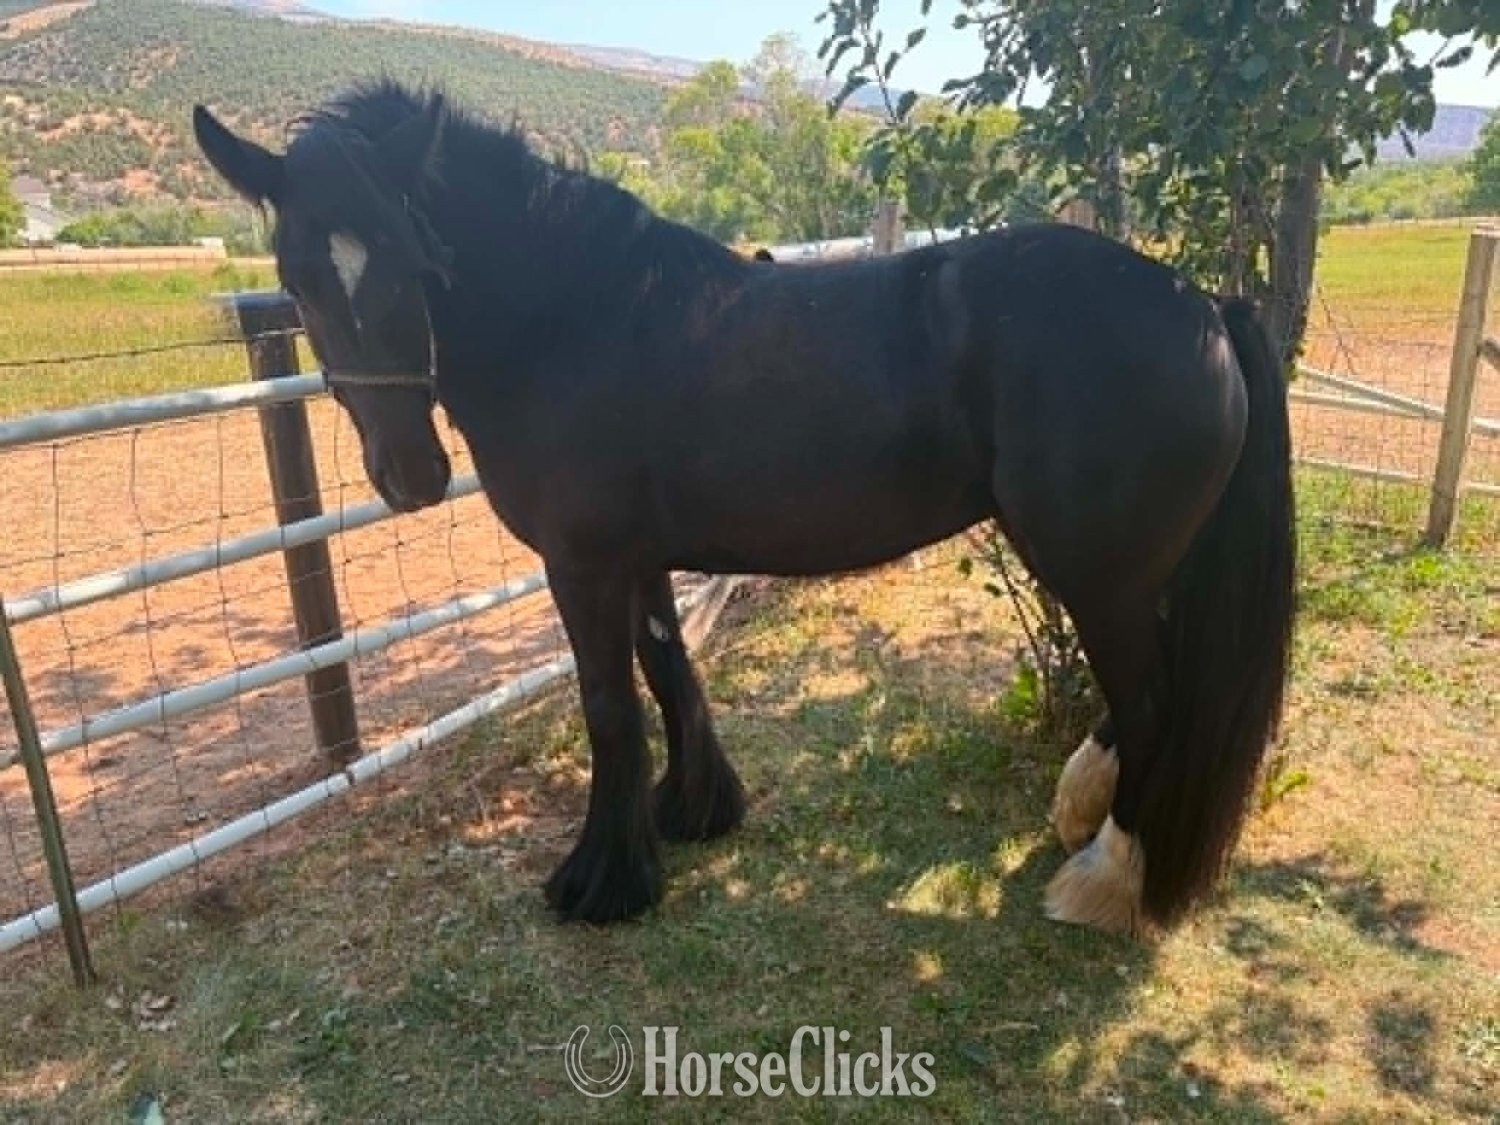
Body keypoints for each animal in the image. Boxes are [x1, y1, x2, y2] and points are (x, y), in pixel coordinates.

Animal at [191, 80, 1296, 937]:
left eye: (414, 259)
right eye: (297, 276)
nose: (410, 474)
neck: (580, 318)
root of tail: (1202, 306)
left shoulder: (581, 562)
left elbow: (607, 704)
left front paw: (602, 879)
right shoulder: (637, 555)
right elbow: (669, 669)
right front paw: (692, 812)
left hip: (1099, 573)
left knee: (1152, 701)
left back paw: (1104, 878)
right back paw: (1079, 814)